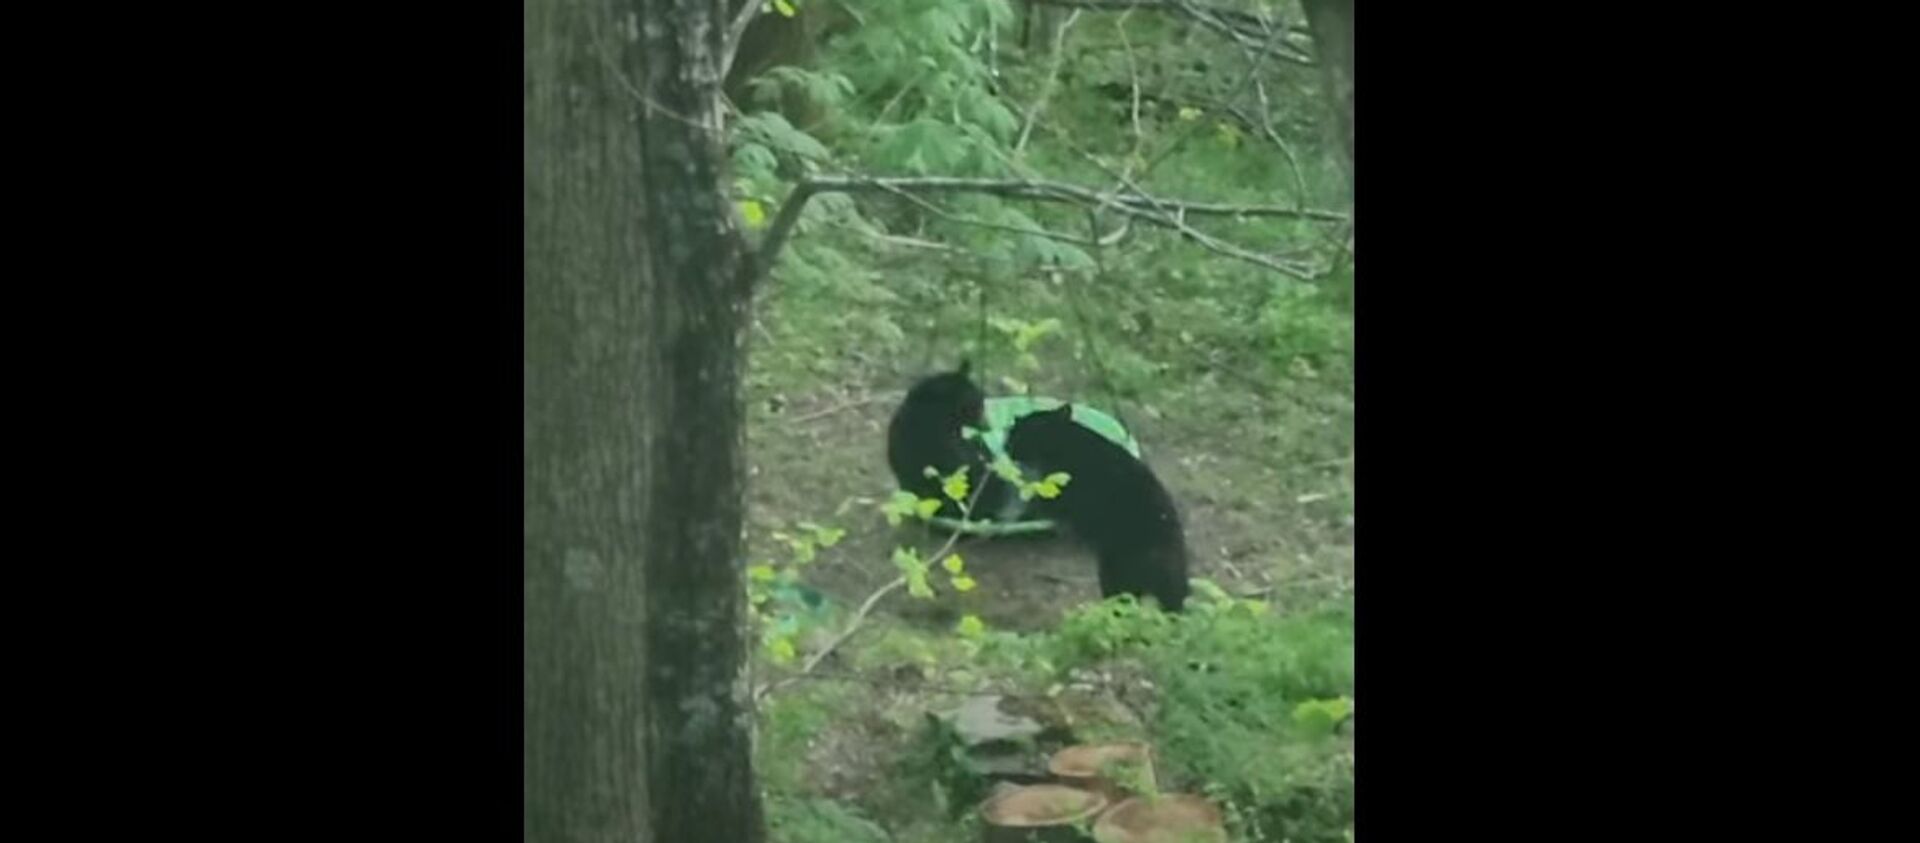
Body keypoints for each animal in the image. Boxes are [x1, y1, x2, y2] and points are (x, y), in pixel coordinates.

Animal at [1006, 405, 1182, 614]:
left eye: (1015, 434)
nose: (1006, 446)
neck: (1062, 440)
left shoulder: (1057, 495)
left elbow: (1036, 504)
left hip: (1114, 571)